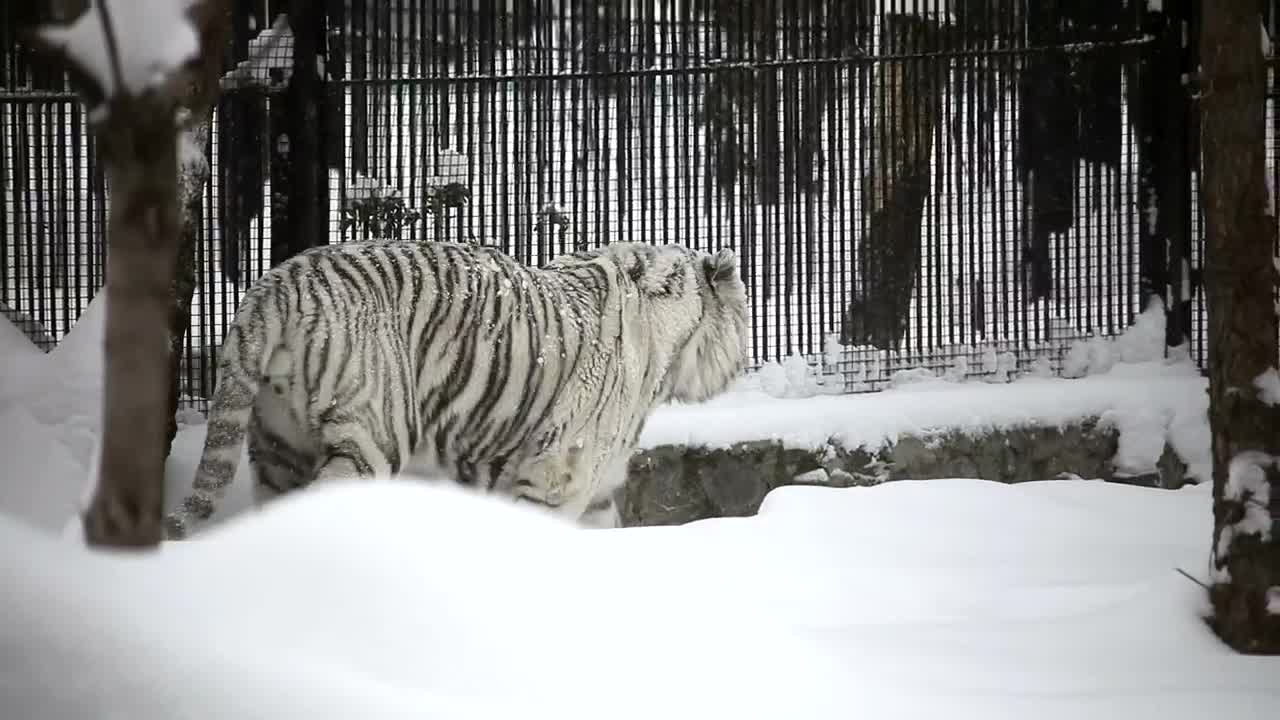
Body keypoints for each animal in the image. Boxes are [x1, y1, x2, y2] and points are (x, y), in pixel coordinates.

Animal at [163, 240, 750, 539]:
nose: (743, 360)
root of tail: (274, 286)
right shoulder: (562, 468)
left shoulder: (598, 486)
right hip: (375, 434)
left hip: (278, 444)